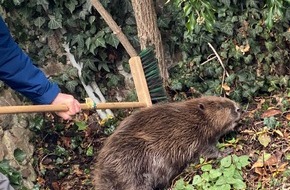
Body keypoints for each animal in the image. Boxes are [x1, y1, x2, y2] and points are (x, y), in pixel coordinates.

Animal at [92, 96, 240, 190]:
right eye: (219, 106)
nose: (238, 108)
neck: (194, 118)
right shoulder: (193, 136)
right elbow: (207, 150)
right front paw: (226, 151)